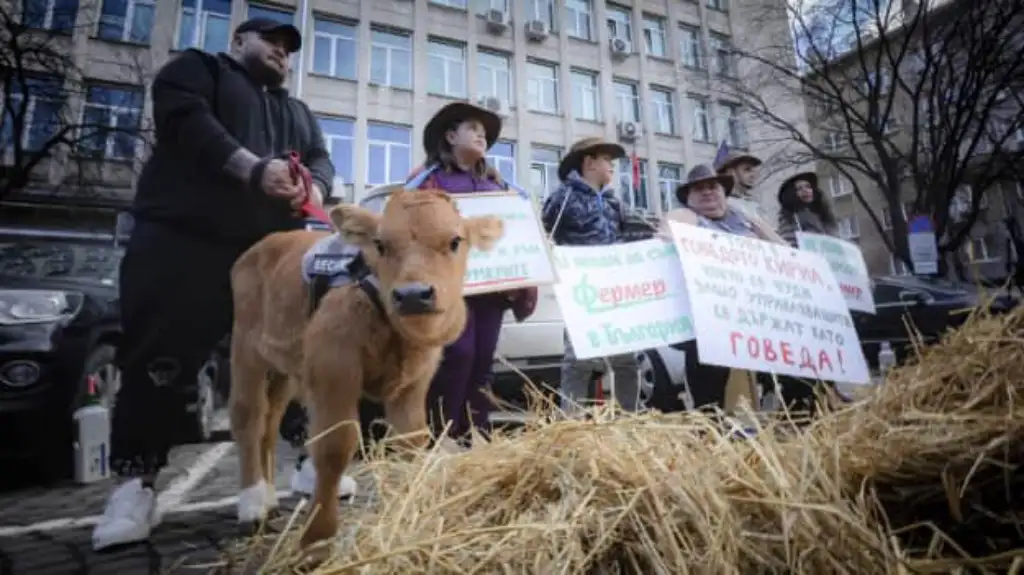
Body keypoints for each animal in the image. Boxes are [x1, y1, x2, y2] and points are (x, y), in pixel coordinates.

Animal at [230, 189, 505, 544]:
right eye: (381, 244)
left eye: (455, 241)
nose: (413, 295)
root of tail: (264, 245)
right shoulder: (333, 366)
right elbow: (335, 445)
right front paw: (318, 533)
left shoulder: (414, 381)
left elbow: (411, 439)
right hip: (245, 349)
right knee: (248, 416)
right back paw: (252, 506)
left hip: (283, 368)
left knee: (270, 419)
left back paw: (268, 498)